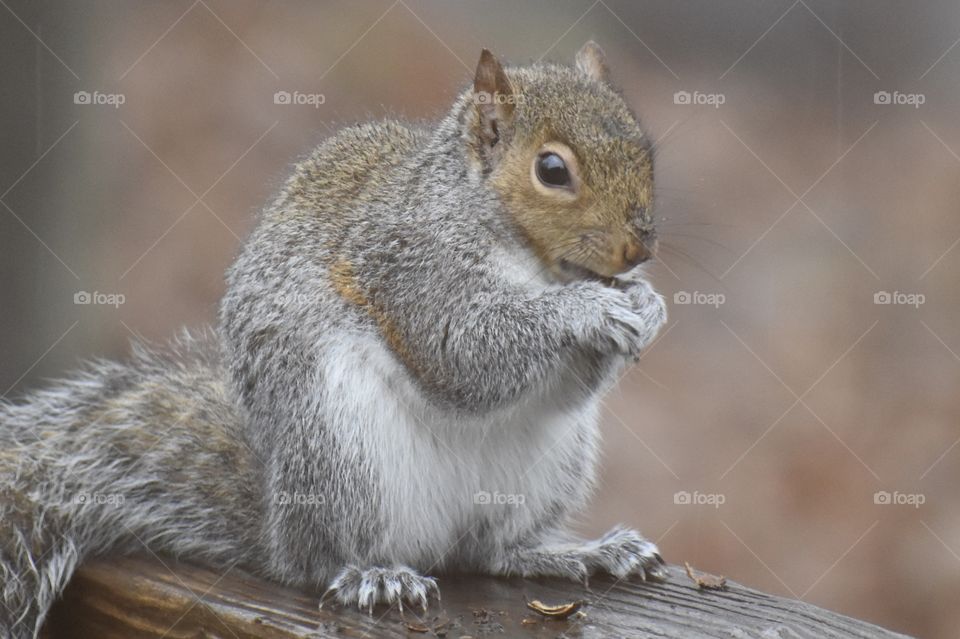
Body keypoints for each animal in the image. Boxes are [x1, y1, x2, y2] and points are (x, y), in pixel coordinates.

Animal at [0, 42, 668, 636]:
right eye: (552, 170)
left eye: (645, 148)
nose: (640, 249)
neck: (527, 255)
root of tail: (274, 529)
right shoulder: (408, 267)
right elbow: (462, 351)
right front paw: (585, 309)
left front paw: (648, 303)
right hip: (338, 447)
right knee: (318, 563)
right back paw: (371, 575)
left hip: (550, 465)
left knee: (488, 553)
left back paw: (575, 554)